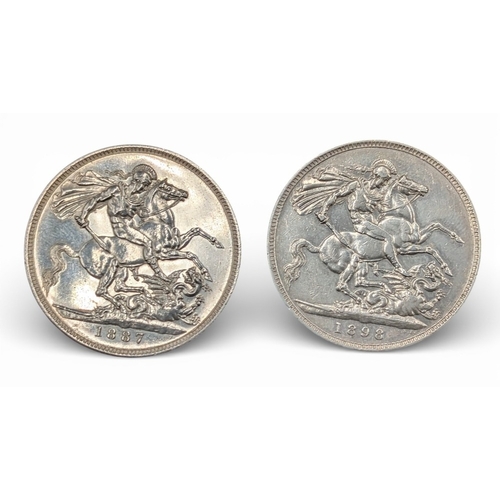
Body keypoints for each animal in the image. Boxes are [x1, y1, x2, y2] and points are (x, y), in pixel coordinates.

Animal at [43, 178, 223, 308]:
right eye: (167, 187)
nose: (184, 193)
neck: (158, 222)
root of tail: (79, 251)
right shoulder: (164, 253)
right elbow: (190, 254)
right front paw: (203, 273)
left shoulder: (177, 244)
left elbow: (196, 230)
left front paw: (217, 243)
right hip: (111, 266)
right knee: (101, 290)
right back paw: (120, 303)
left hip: (121, 270)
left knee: (118, 286)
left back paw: (142, 291)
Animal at [284, 175, 463, 302]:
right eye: (407, 182)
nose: (425, 189)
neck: (398, 217)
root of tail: (320, 247)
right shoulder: (404, 248)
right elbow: (430, 249)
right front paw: (443, 268)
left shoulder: (418, 239)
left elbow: (436, 226)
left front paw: (457, 239)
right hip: (350, 262)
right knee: (342, 284)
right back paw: (362, 299)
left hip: (361, 264)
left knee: (359, 281)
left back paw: (383, 287)